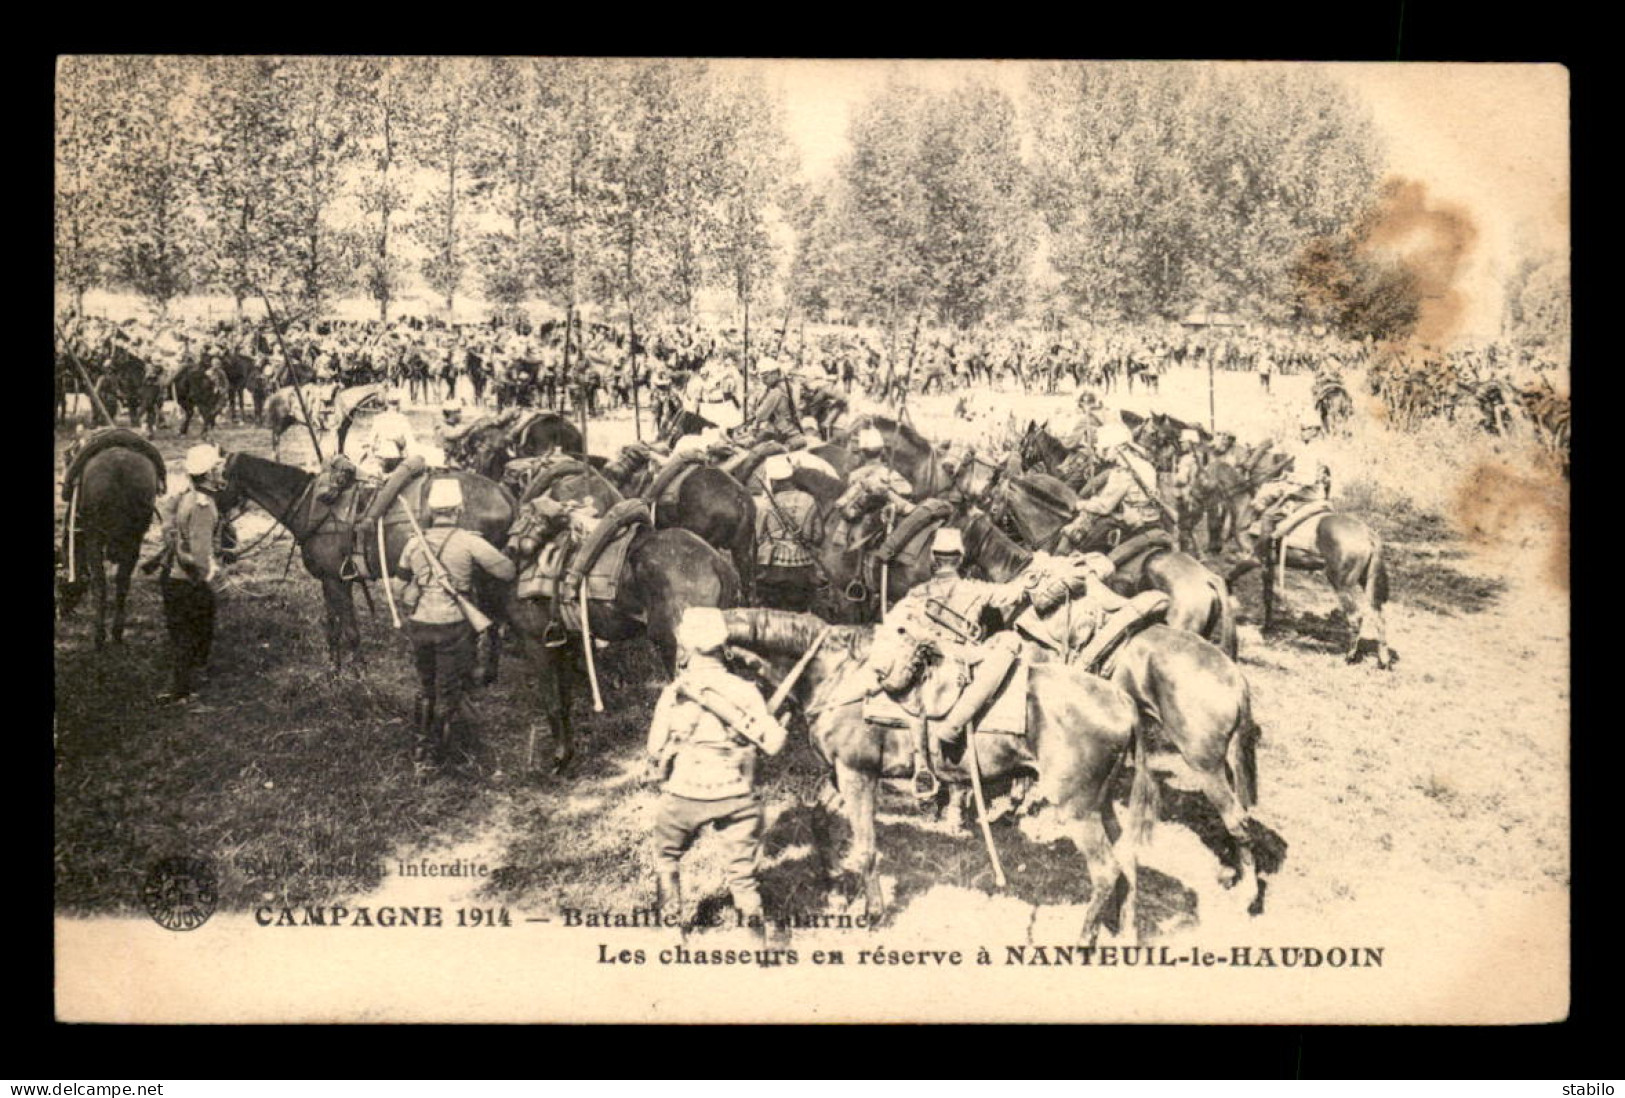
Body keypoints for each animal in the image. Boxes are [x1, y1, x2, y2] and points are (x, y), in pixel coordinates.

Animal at [58, 432, 164, 646]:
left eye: (60, 585)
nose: (61, 612)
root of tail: (120, 465)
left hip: (95, 536)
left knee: (100, 581)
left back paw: (99, 635)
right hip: (135, 537)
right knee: (122, 581)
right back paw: (116, 632)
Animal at [217, 451, 513, 672]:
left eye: (218, 483)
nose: (225, 543)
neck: (311, 505)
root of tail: (504, 493)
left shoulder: (338, 580)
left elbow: (350, 629)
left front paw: (359, 674)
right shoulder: (329, 581)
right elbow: (333, 627)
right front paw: (334, 672)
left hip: (482, 576)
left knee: (490, 619)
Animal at [507, 458, 744, 766]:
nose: (513, 546)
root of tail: (717, 563)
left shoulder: (536, 644)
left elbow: (553, 702)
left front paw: (561, 757)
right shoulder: (565, 644)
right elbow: (564, 700)